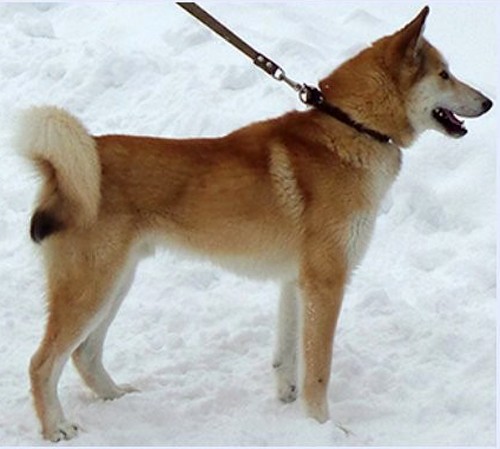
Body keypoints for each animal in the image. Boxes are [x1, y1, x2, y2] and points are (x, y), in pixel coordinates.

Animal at [16, 6, 492, 441]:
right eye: (446, 74)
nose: (488, 102)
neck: (353, 127)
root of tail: (69, 165)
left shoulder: (296, 281)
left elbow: (287, 354)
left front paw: (288, 401)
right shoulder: (326, 283)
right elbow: (319, 368)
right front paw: (324, 427)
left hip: (116, 282)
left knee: (84, 355)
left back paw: (115, 396)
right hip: (92, 287)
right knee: (42, 363)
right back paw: (56, 427)